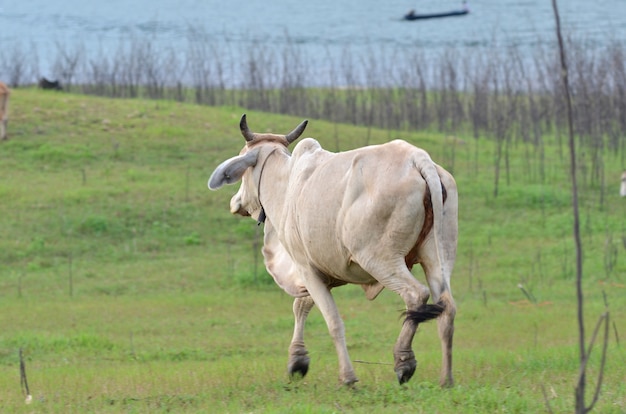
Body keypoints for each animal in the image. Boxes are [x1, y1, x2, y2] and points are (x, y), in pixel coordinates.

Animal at [207, 115, 456, 386]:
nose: (235, 202)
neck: (286, 185)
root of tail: (417, 158)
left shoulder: (305, 267)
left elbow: (332, 321)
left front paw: (347, 377)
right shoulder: (316, 271)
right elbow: (301, 306)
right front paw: (297, 361)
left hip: (380, 260)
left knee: (416, 296)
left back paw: (404, 361)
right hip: (437, 258)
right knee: (447, 307)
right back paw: (446, 379)